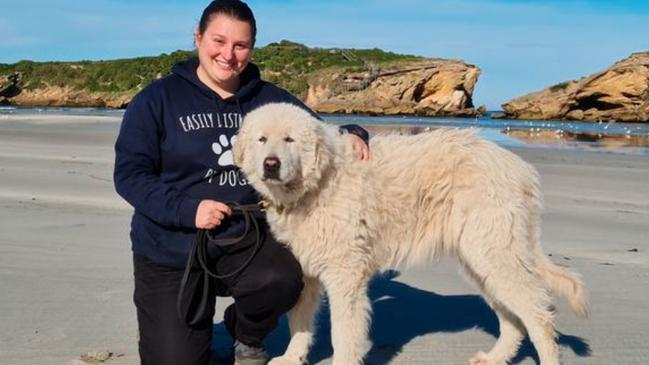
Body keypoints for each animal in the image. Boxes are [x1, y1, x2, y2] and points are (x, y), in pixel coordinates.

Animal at [233, 102, 588, 364]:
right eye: (262, 139)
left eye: (289, 140)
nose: (270, 164)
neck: (317, 183)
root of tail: (519, 166)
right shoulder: (306, 272)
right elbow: (299, 322)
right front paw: (291, 358)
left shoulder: (345, 274)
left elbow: (343, 334)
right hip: (481, 260)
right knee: (513, 319)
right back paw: (493, 358)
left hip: (494, 252)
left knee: (538, 317)